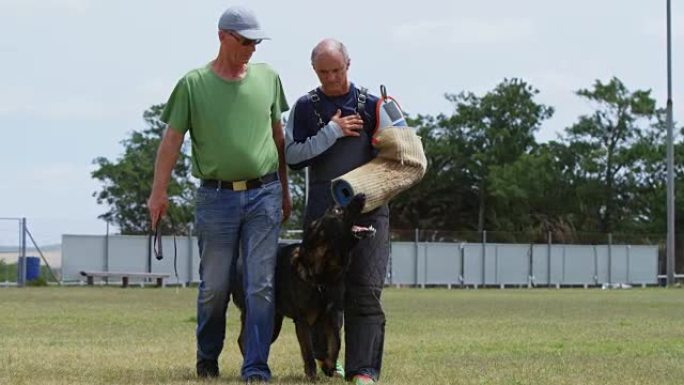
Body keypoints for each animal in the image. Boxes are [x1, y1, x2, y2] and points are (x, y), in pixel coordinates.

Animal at [234, 194, 374, 380]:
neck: (323, 275)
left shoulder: (333, 316)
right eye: (338, 210)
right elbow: (308, 352)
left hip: (274, 322)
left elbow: (335, 345)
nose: (362, 195)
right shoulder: (303, 321)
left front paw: (329, 367)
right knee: (244, 340)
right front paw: (312, 375)